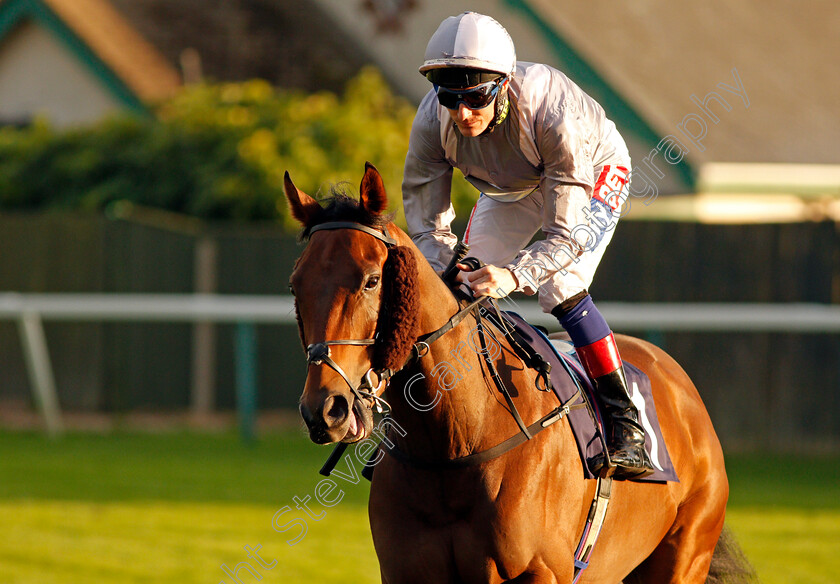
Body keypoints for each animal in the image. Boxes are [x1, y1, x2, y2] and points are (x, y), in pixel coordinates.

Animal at [286, 164, 752, 584]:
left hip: (686, 553)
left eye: (371, 280)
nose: (325, 409)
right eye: (295, 285)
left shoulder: (541, 571)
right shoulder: (406, 572)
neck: (456, 443)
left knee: (566, 291)